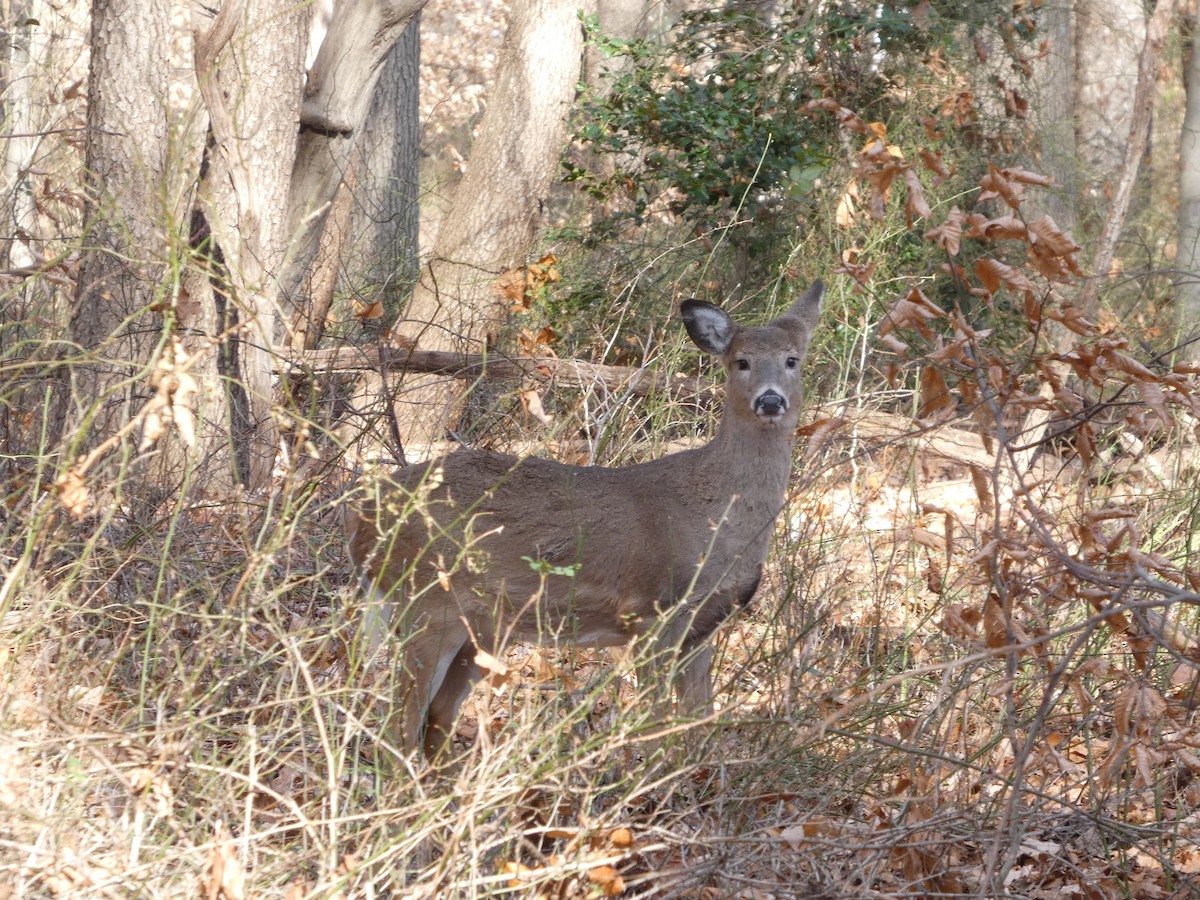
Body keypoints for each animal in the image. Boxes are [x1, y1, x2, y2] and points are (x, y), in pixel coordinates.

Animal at [347, 280, 824, 760]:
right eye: (741, 361)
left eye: (792, 360)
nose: (770, 399)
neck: (716, 518)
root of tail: (362, 523)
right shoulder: (653, 614)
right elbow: (655, 727)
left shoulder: (703, 628)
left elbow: (696, 726)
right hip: (428, 602)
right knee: (400, 722)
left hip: (481, 627)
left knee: (437, 716)